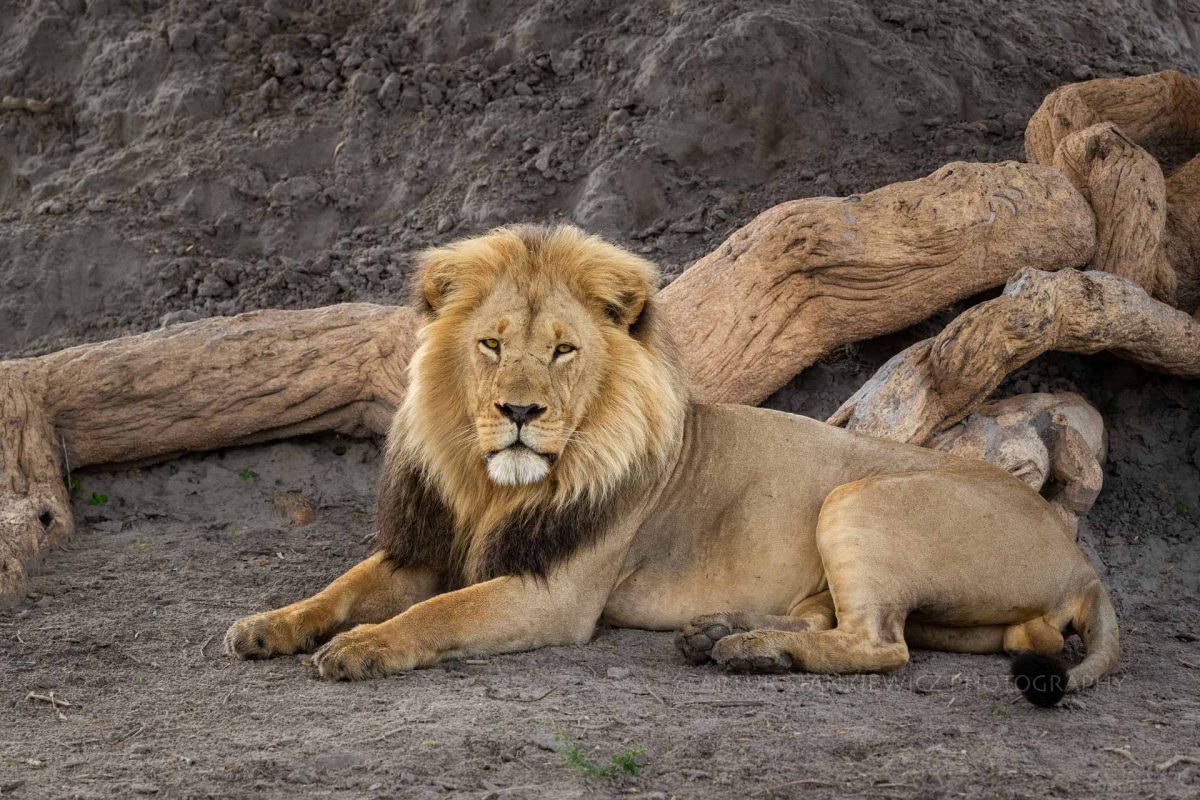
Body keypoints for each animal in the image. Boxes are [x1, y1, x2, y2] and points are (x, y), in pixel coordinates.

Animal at [226, 221, 1123, 705]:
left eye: (562, 351)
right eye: (491, 346)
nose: (519, 413)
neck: (491, 490)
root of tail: (1080, 556)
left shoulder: (557, 593)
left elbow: (437, 614)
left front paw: (363, 649)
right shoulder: (431, 546)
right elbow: (342, 587)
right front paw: (267, 625)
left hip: (861, 497)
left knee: (880, 645)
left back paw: (747, 651)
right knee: (850, 624)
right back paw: (725, 634)